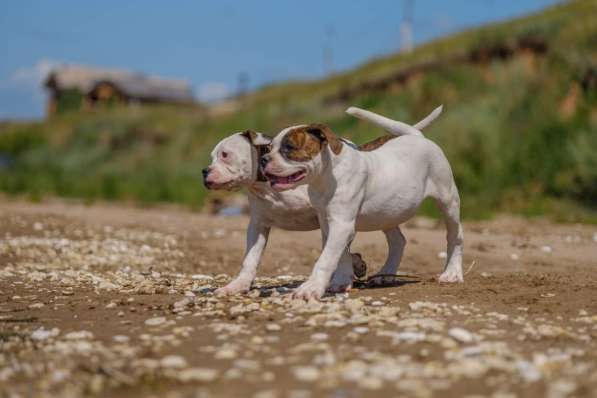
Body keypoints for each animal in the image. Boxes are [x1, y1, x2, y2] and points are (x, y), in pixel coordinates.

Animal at [203, 107, 440, 294]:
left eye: (225, 155)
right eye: (212, 157)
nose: (204, 171)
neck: (269, 188)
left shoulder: (337, 218)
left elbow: (339, 250)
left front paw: (347, 272)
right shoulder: (258, 225)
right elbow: (250, 258)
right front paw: (238, 285)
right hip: (387, 212)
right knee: (397, 240)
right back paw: (385, 273)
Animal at [260, 105, 460, 298]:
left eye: (289, 148)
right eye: (268, 148)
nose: (263, 160)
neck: (326, 176)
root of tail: (416, 136)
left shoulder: (341, 225)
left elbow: (326, 258)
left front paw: (310, 288)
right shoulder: (328, 223)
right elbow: (341, 255)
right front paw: (340, 282)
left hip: (448, 200)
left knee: (455, 237)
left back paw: (452, 273)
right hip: (387, 212)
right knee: (398, 241)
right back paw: (386, 274)